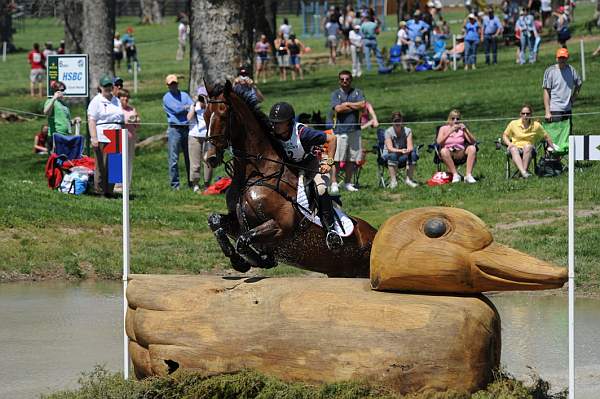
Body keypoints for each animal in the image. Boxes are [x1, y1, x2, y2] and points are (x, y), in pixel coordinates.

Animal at [204, 81, 378, 278]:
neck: (258, 173)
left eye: (223, 114)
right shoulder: (237, 221)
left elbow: (243, 240)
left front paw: (261, 259)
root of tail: (375, 233)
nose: (210, 158)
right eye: (205, 115)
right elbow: (216, 221)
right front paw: (240, 262)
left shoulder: (282, 225)